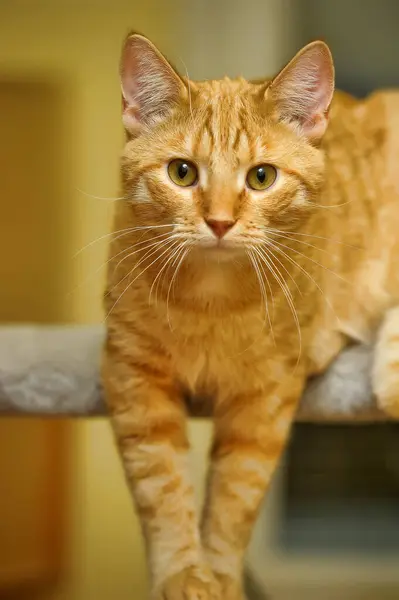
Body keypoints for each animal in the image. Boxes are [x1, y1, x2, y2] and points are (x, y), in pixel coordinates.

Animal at [101, 34, 399, 600]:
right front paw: (182, 575)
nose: (219, 222)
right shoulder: (133, 376)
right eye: (182, 172)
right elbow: (162, 489)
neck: (210, 305)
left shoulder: (265, 396)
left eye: (261, 177)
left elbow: (233, 502)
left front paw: (218, 577)